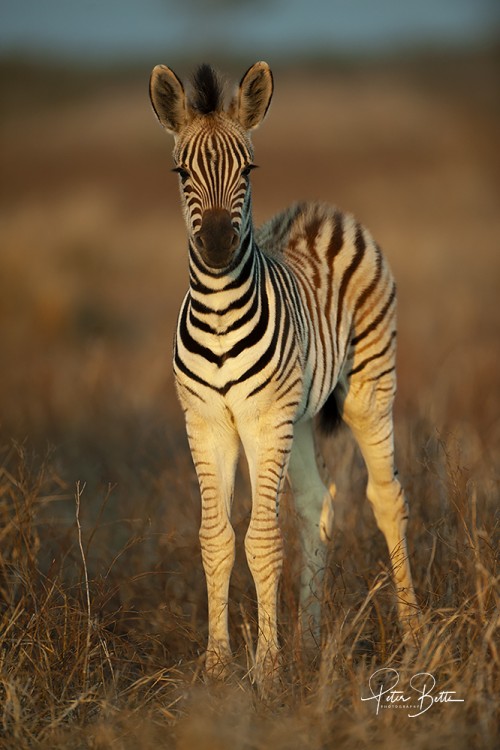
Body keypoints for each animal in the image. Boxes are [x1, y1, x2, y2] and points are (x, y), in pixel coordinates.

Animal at [150, 61, 420, 692]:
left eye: (248, 169)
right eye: (181, 172)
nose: (217, 245)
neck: (220, 314)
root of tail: (324, 211)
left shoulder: (262, 420)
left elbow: (263, 540)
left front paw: (267, 670)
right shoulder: (207, 423)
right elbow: (216, 538)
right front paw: (219, 666)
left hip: (366, 390)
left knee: (386, 497)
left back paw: (415, 636)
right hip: (295, 417)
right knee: (318, 503)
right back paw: (312, 644)